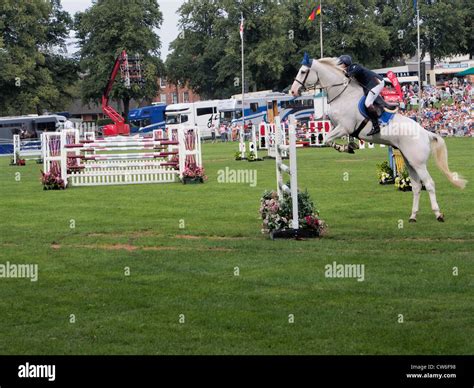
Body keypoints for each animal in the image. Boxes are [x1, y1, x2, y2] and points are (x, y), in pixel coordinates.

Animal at [288, 56, 466, 223]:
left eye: (303, 72)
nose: (293, 91)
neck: (343, 94)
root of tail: (426, 133)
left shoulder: (344, 127)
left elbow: (327, 139)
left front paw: (345, 147)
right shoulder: (337, 126)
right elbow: (329, 136)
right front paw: (350, 145)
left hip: (418, 163)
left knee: (429, 184)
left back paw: (438, 214)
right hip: (409, 161)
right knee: (416, 186)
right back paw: (413, 216)